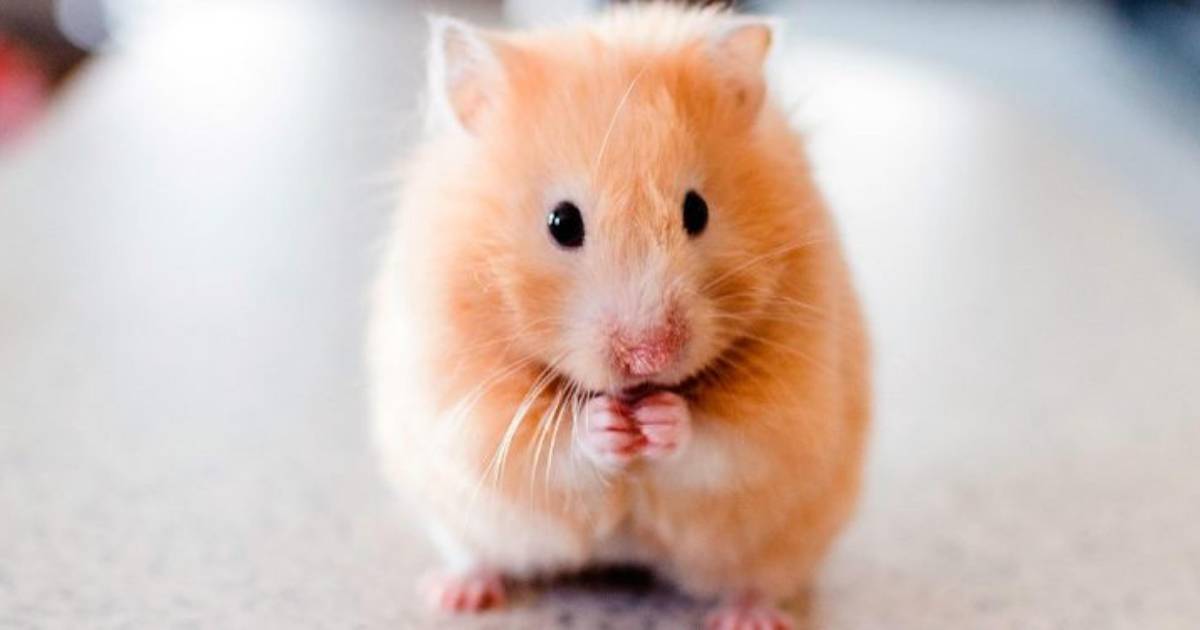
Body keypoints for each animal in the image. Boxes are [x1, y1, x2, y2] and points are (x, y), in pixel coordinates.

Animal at [368, 4, 870, 628]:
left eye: (697, 211)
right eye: (562, 222)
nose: (649, 357)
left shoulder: (790, 411)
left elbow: (722, 443)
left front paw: (661, 418)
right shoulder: (465, 402)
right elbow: (549, 447)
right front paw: (607, 424)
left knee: (759, 580)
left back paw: (748, 616)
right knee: (477, 554)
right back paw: (456, 594)